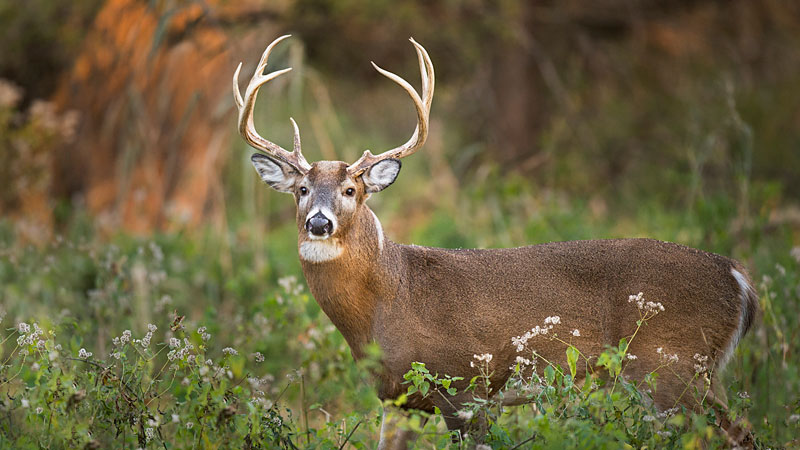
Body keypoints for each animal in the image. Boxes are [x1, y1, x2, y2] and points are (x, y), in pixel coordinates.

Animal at [233, 35, 758, 449]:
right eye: (302, 189)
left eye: (350, 190)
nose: (319, 224)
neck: (388, 297)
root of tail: (737, 276)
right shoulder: (397, 399)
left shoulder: (467, 386)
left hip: (671, 366)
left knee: (737, 433)